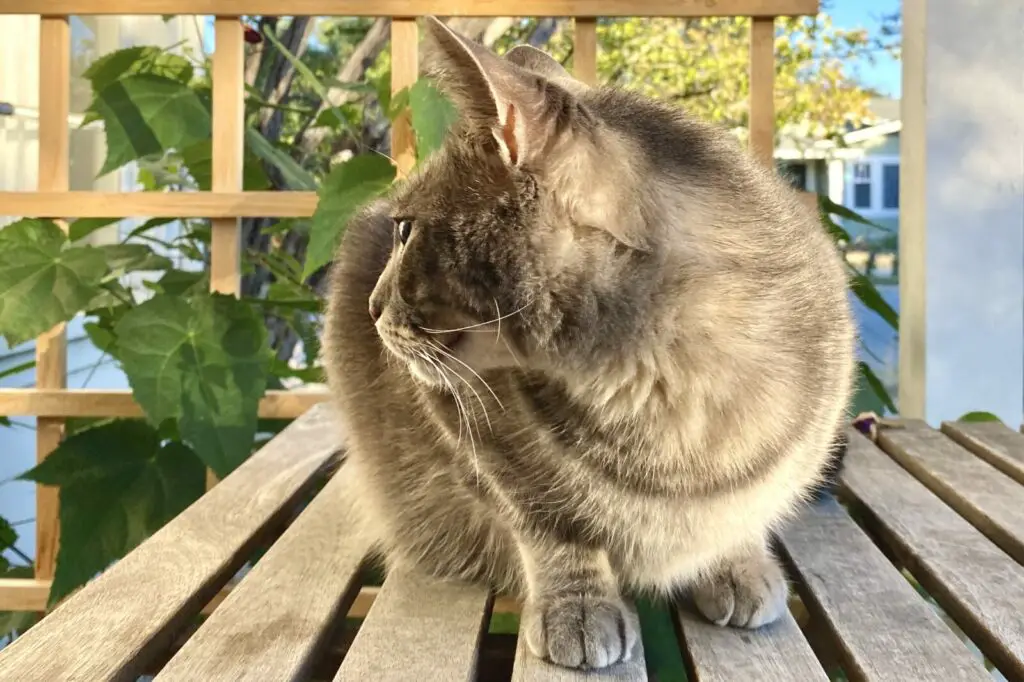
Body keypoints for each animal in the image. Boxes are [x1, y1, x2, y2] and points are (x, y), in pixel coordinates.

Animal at [321, 15, 856, 667]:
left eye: (407, 231)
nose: (373, 308)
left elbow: (744, 513)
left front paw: (736, 564)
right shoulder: (476, 432)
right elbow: (554, 529)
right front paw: (577, 608)